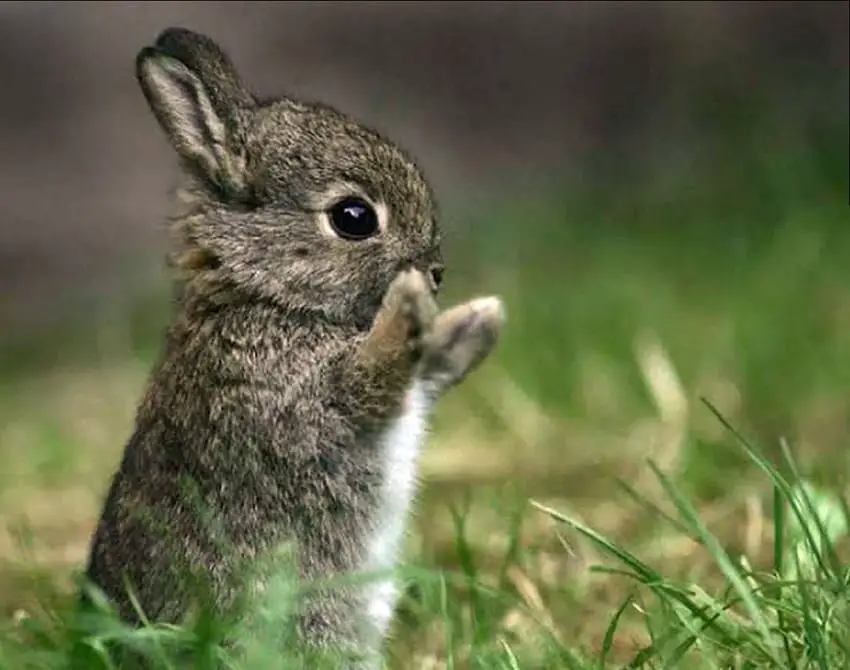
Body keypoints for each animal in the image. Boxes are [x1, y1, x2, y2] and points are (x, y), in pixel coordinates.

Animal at [81, 26, 505, 668]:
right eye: (354, 217)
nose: (434, 274)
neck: (267, 297)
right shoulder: (300, 401)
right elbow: (372, 378)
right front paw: (408, 305)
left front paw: (477, 319)